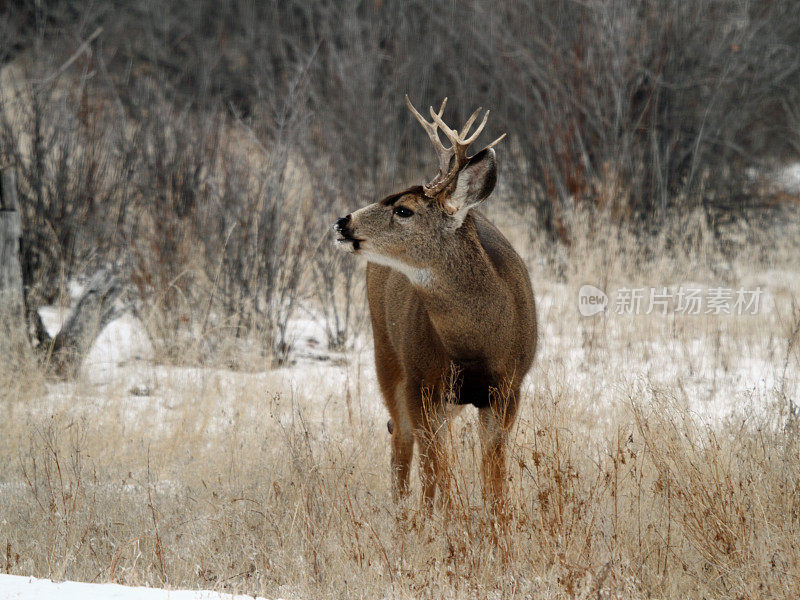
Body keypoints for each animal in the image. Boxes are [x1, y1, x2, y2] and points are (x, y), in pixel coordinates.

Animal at [332, 96, 536, 512]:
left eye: (404, 209)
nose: (343, 222)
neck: (477, 344)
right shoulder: (423, 383)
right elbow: (439, 474)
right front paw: (444, 522)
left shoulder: (508, 389)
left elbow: (494, 480)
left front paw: (496, 524)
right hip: (387, 355)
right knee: (403, 439)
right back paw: (404, 513)